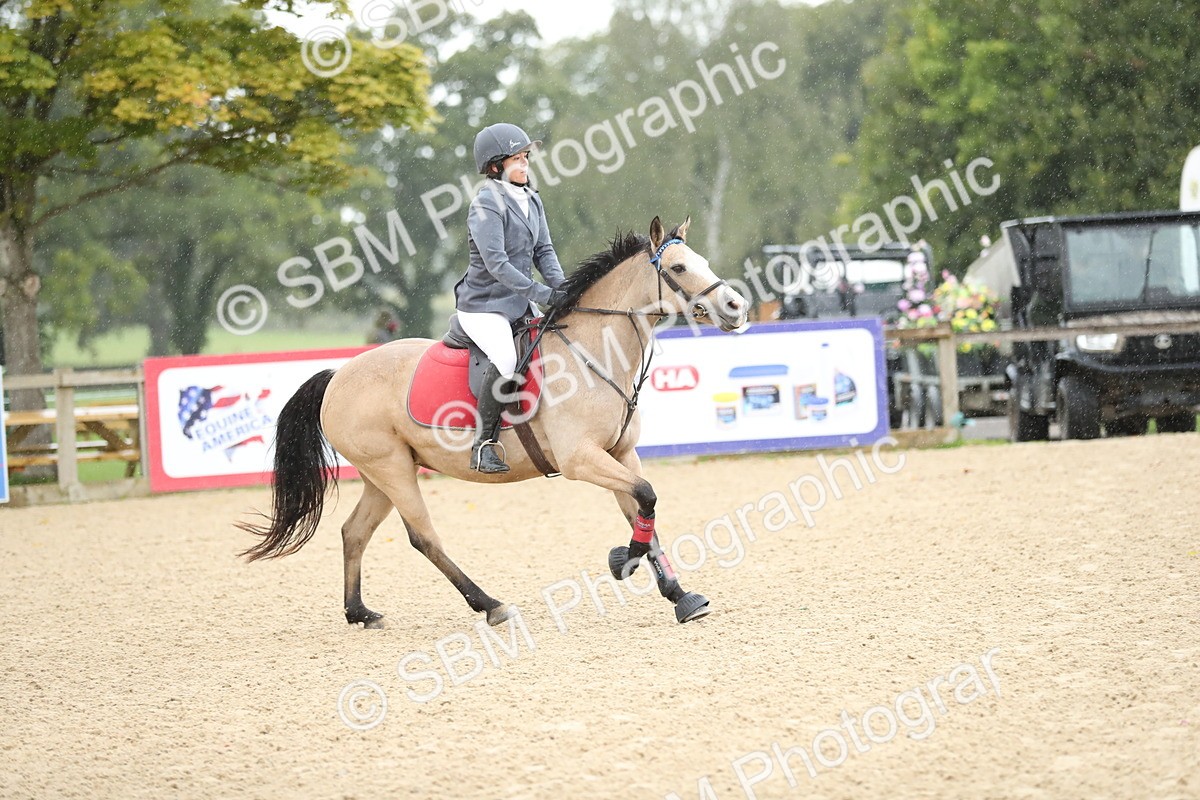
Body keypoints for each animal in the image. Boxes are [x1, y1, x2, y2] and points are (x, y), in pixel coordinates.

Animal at [238, 216, 750, 627]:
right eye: (678, 269)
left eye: (701, 260)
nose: (735, 307)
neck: (594, 352)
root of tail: (338, 374)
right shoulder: (582, 459)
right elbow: (646, 497)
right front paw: (624, 560)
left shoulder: (620, 453)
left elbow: (644, 510)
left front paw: (679, 595)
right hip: (392, 469)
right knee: (423, 537)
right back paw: (490, 605)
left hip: (381, 473)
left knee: (355, 532)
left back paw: (359, 612)